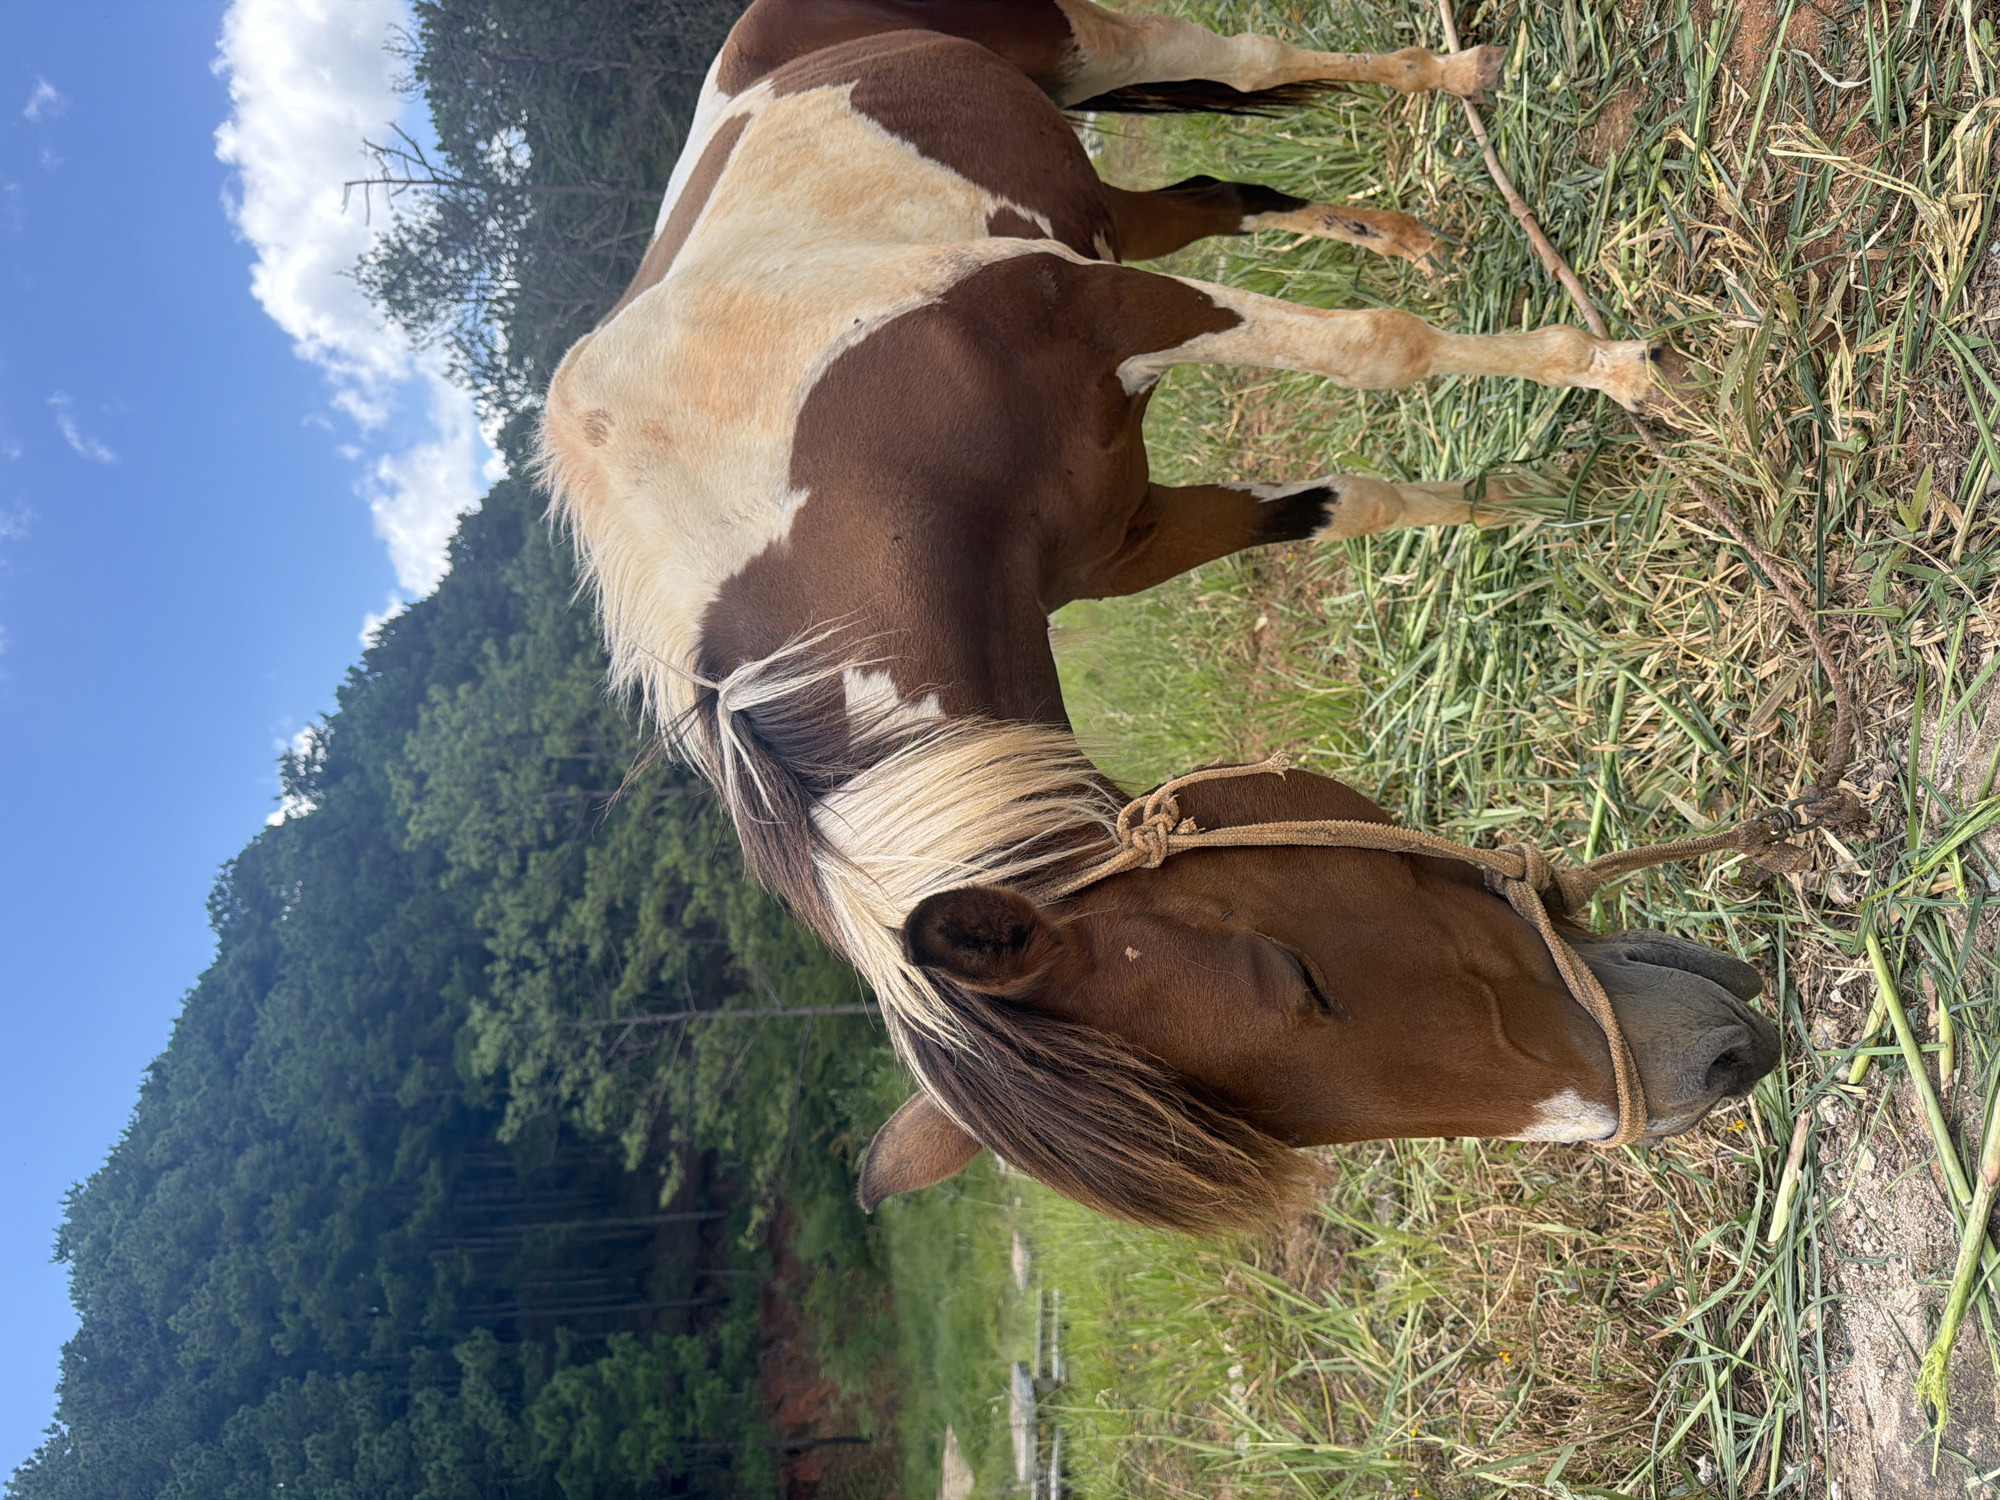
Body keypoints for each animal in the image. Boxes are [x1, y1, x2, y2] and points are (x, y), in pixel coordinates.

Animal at [540, 0, 1778, 1234]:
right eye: (1288, 1124)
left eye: (1295, 971)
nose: (1704, 1069)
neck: (830, 482)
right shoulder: (1133, 536)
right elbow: (1338, 501)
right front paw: (1508, 500)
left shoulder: (1112, 311)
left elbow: (1380, 348)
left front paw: (1620, 376)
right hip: (1094, 200)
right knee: (1214, 192)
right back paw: (1399, 231)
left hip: (1090, 57)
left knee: (1253, 64)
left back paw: (1452, 76)